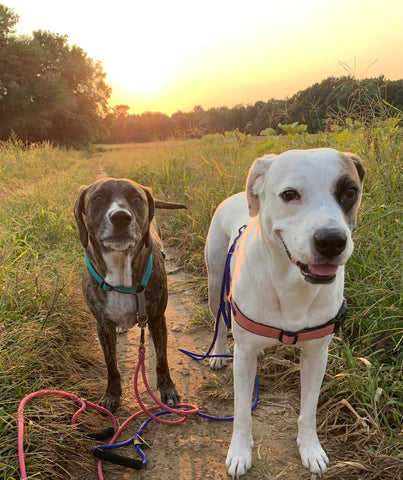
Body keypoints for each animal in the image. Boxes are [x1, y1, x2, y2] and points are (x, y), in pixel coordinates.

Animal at [205, 149, 366, 476]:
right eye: (289, 194)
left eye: (350, 192)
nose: (331, 240)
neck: (292, 284)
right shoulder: (243, 357)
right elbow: (242, 412)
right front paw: (239, 451)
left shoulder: (317, 355)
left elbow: (309, 409)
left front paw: (311, 448)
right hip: (215, 282)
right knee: (219, 321)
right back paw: (217, 353)